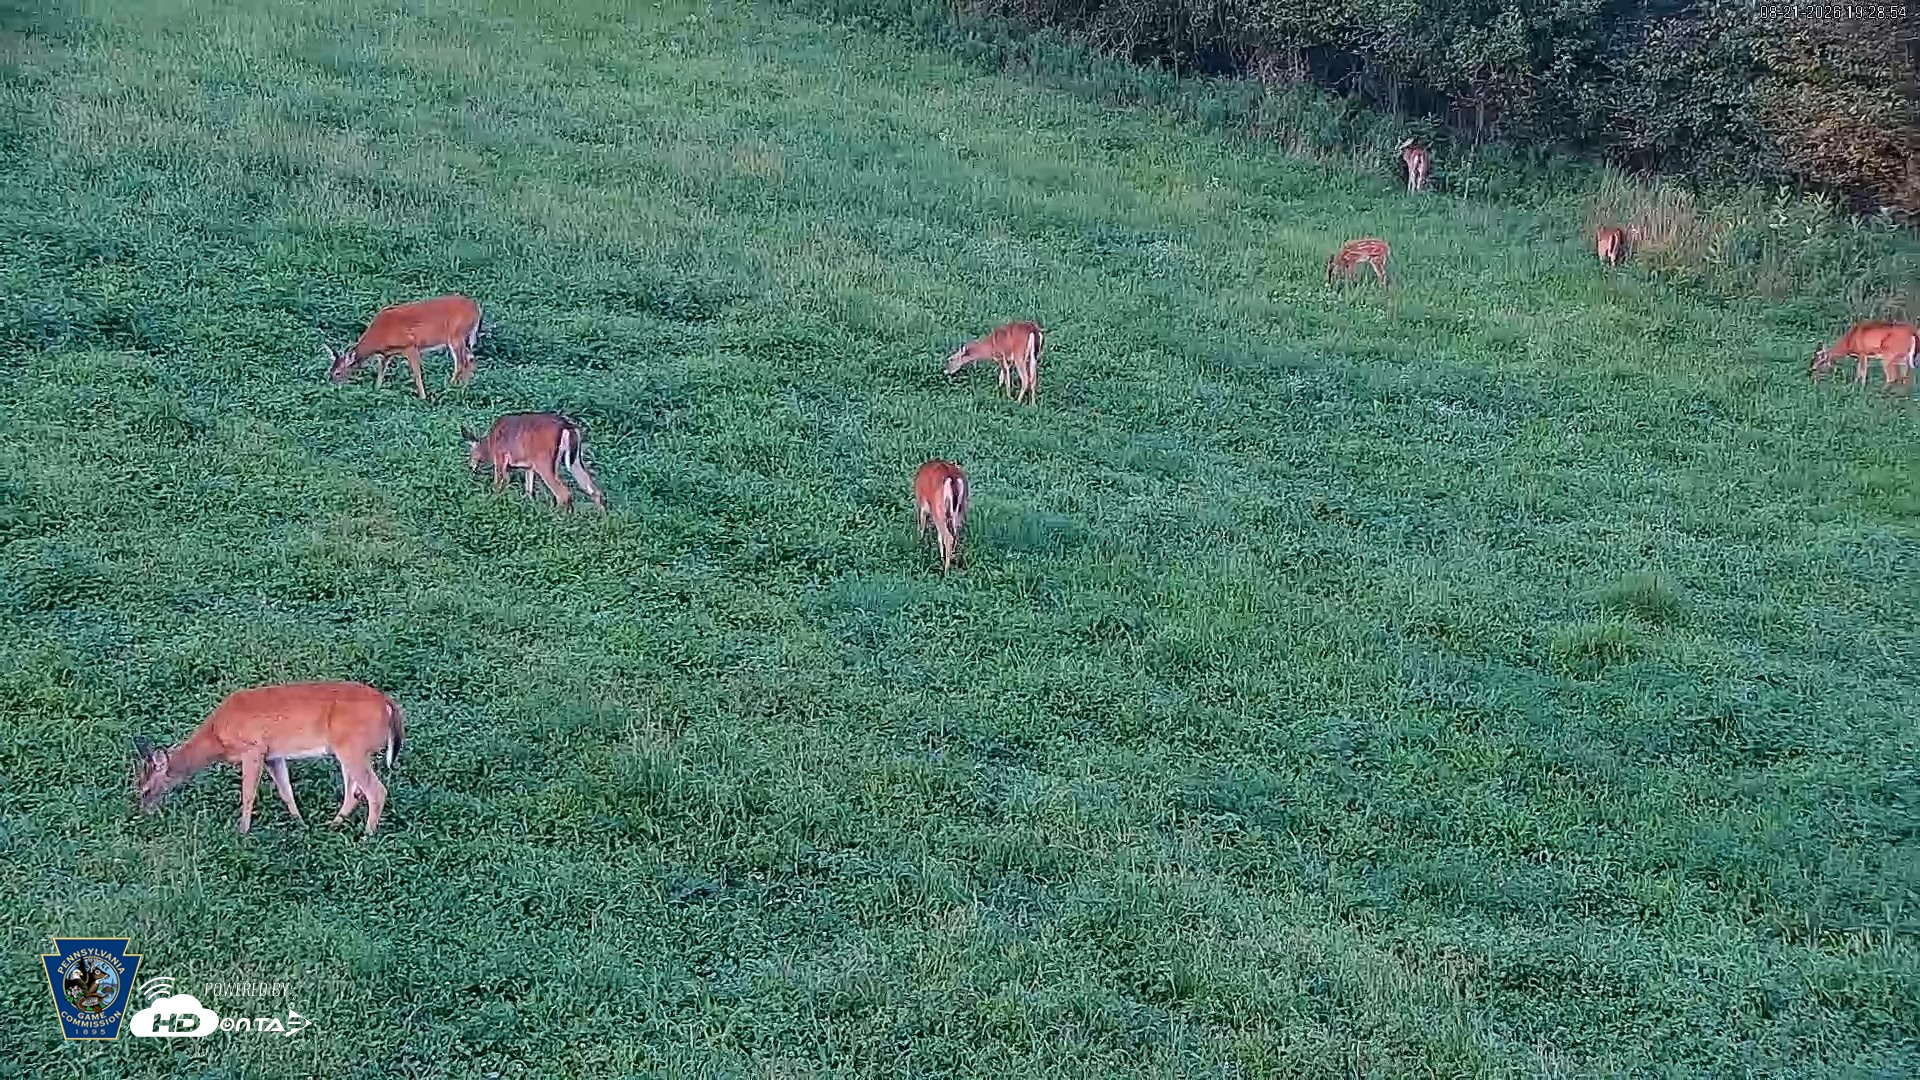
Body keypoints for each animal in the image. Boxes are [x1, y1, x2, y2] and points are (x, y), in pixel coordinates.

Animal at [132, 681, 404, 836]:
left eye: (145, 790)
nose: (143, 813)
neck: (216, 736)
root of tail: (388, 704)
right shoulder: (273, 755)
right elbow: (286, 791)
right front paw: (300, 823)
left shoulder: (253, 749)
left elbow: (248, 794)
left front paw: (242, 833)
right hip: (346, 750)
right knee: (354, 792)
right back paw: (332, 825)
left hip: (352, 747)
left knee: (375, 791)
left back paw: (366, 835)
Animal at [326, 294, 482, 400]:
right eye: (330, 370)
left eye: (338, 373)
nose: (331, 384)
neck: (380, 334)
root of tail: (476, 309)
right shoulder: (387, 354)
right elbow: (381, 372)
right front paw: (376, 390)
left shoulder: (410, 345)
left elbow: (416, 373)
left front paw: (423, 397)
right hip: (463, 338)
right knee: (470, 358)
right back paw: (463, 389)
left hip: (456, 335)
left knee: (461, 362)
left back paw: (448, 388)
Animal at [463, 412, 606, 511]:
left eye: (470, 452)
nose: (471, 467)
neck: (489, 445)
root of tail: (568, 426)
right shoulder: (529, 467)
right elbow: (529, 491)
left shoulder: (500, 457)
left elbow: (498, 484)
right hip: (575, 460)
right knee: (594, 491)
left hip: (544, 462)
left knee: (564, 494)